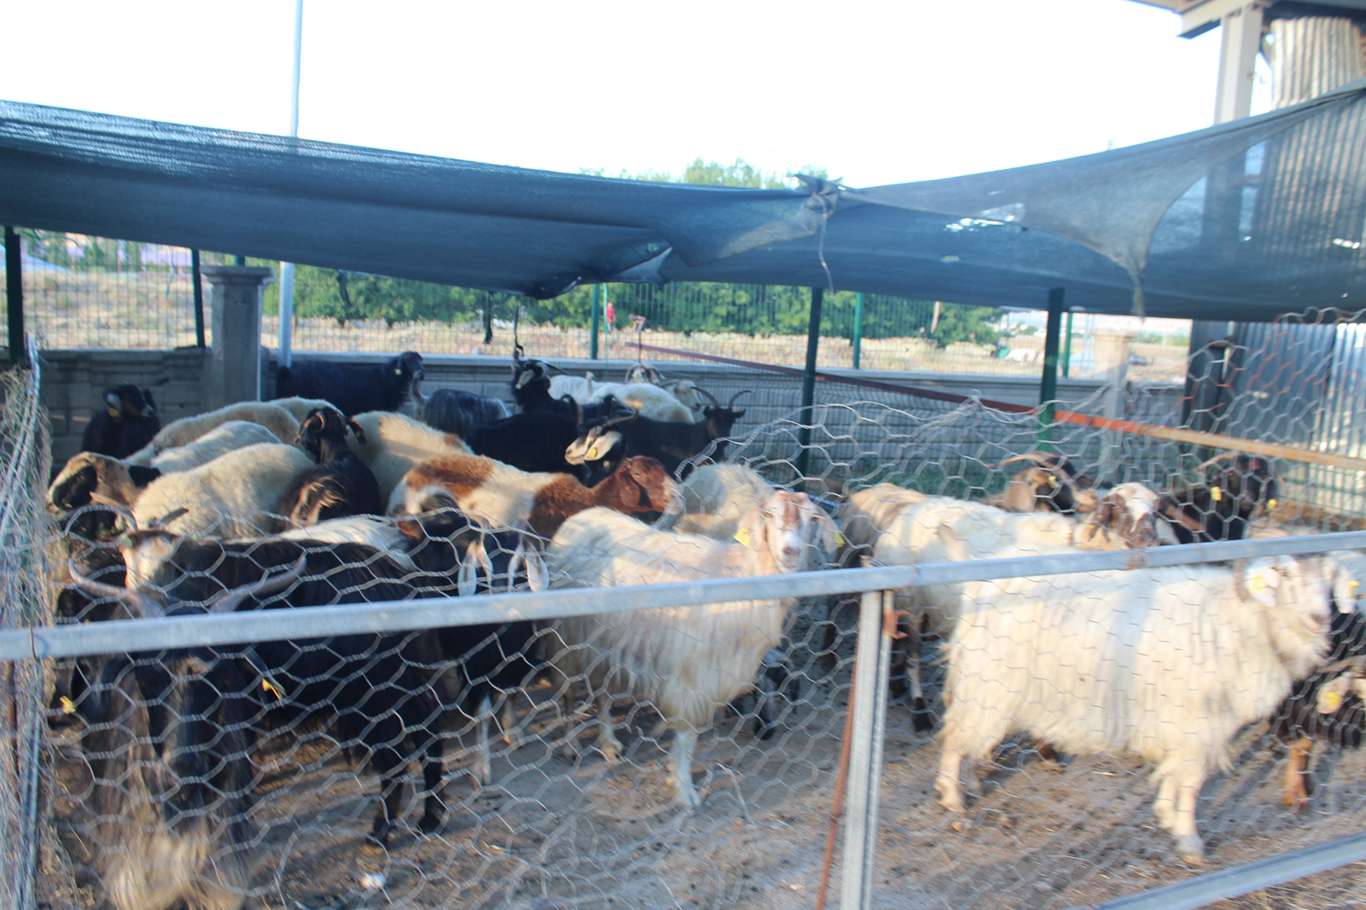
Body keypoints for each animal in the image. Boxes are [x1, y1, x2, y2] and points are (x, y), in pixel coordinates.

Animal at [543, 490, 836, 808]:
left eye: (813, 518)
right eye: (768, 515)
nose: (790, 551)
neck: (745, 575)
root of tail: (583, 515)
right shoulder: (693, 674)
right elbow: (687, 735)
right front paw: (685, 790)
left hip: (605, 642)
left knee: (603, 693)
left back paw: (609, 744)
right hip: (567, 638)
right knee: (567, 692)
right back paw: (571, 746)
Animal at [934, 528, 1333, 864]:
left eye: (1329, 577)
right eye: (1282, 573)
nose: (1321, 618)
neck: (1241, 620)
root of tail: (978, 576)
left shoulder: (1184, 727)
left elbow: (1175, 775)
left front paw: (1167, 815)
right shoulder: (1197, 724)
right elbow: (1191, 784)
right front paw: (1190, 840)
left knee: (968, 738)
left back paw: (969, 782)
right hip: (990, 682)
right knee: (955, 738)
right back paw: (953, 799)